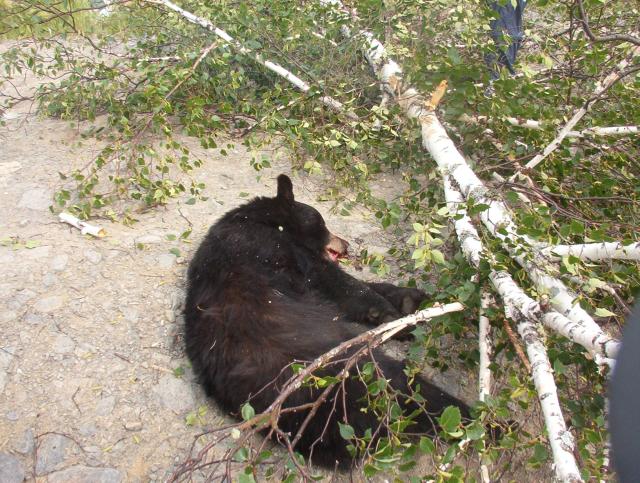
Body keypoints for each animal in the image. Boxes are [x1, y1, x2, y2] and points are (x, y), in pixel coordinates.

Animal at [184, 174, 470, 468]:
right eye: (322, 222)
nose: (346, 244)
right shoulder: (270, 247)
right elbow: (337, 281)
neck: (259, 220)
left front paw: (409, 300)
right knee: (409, 388)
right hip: (353, 367)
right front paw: (392, 315)